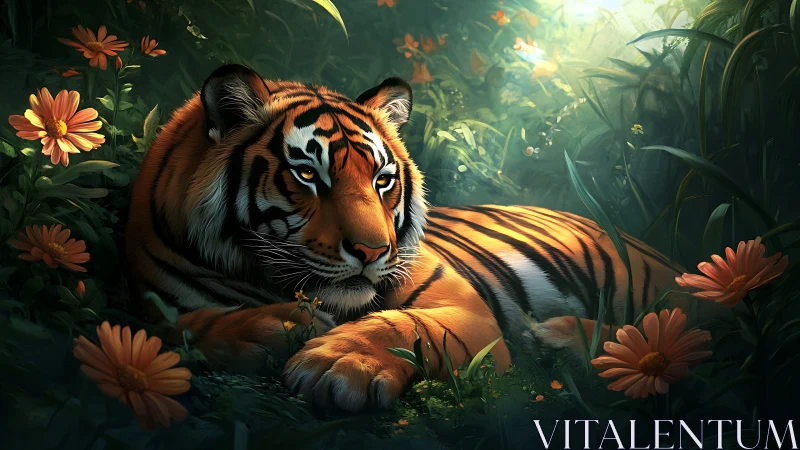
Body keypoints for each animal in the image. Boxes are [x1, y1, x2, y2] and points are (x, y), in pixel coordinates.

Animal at [125, 64, 685, 412]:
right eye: (307, 174)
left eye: (382, 179)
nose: (373, 252)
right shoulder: (155, 299)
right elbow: (182, 327)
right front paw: (280, 326)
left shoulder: (469, 311)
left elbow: (405, 324)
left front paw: (336, 363)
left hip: (637, 280)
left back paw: (559, 338)